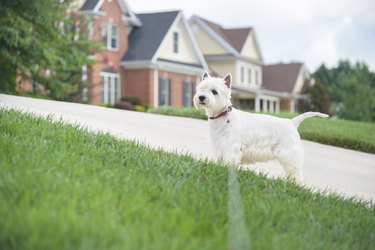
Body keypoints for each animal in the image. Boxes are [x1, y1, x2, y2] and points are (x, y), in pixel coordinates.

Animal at [194, 72, 328, 182]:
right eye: (201, 89)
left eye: (214, 91)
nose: (201, 97)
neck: (222, 115)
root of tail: (292, 122)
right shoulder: (219, 145)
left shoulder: (231, 147)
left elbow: (229, 161)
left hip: (289, 154)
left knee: (296, 172)